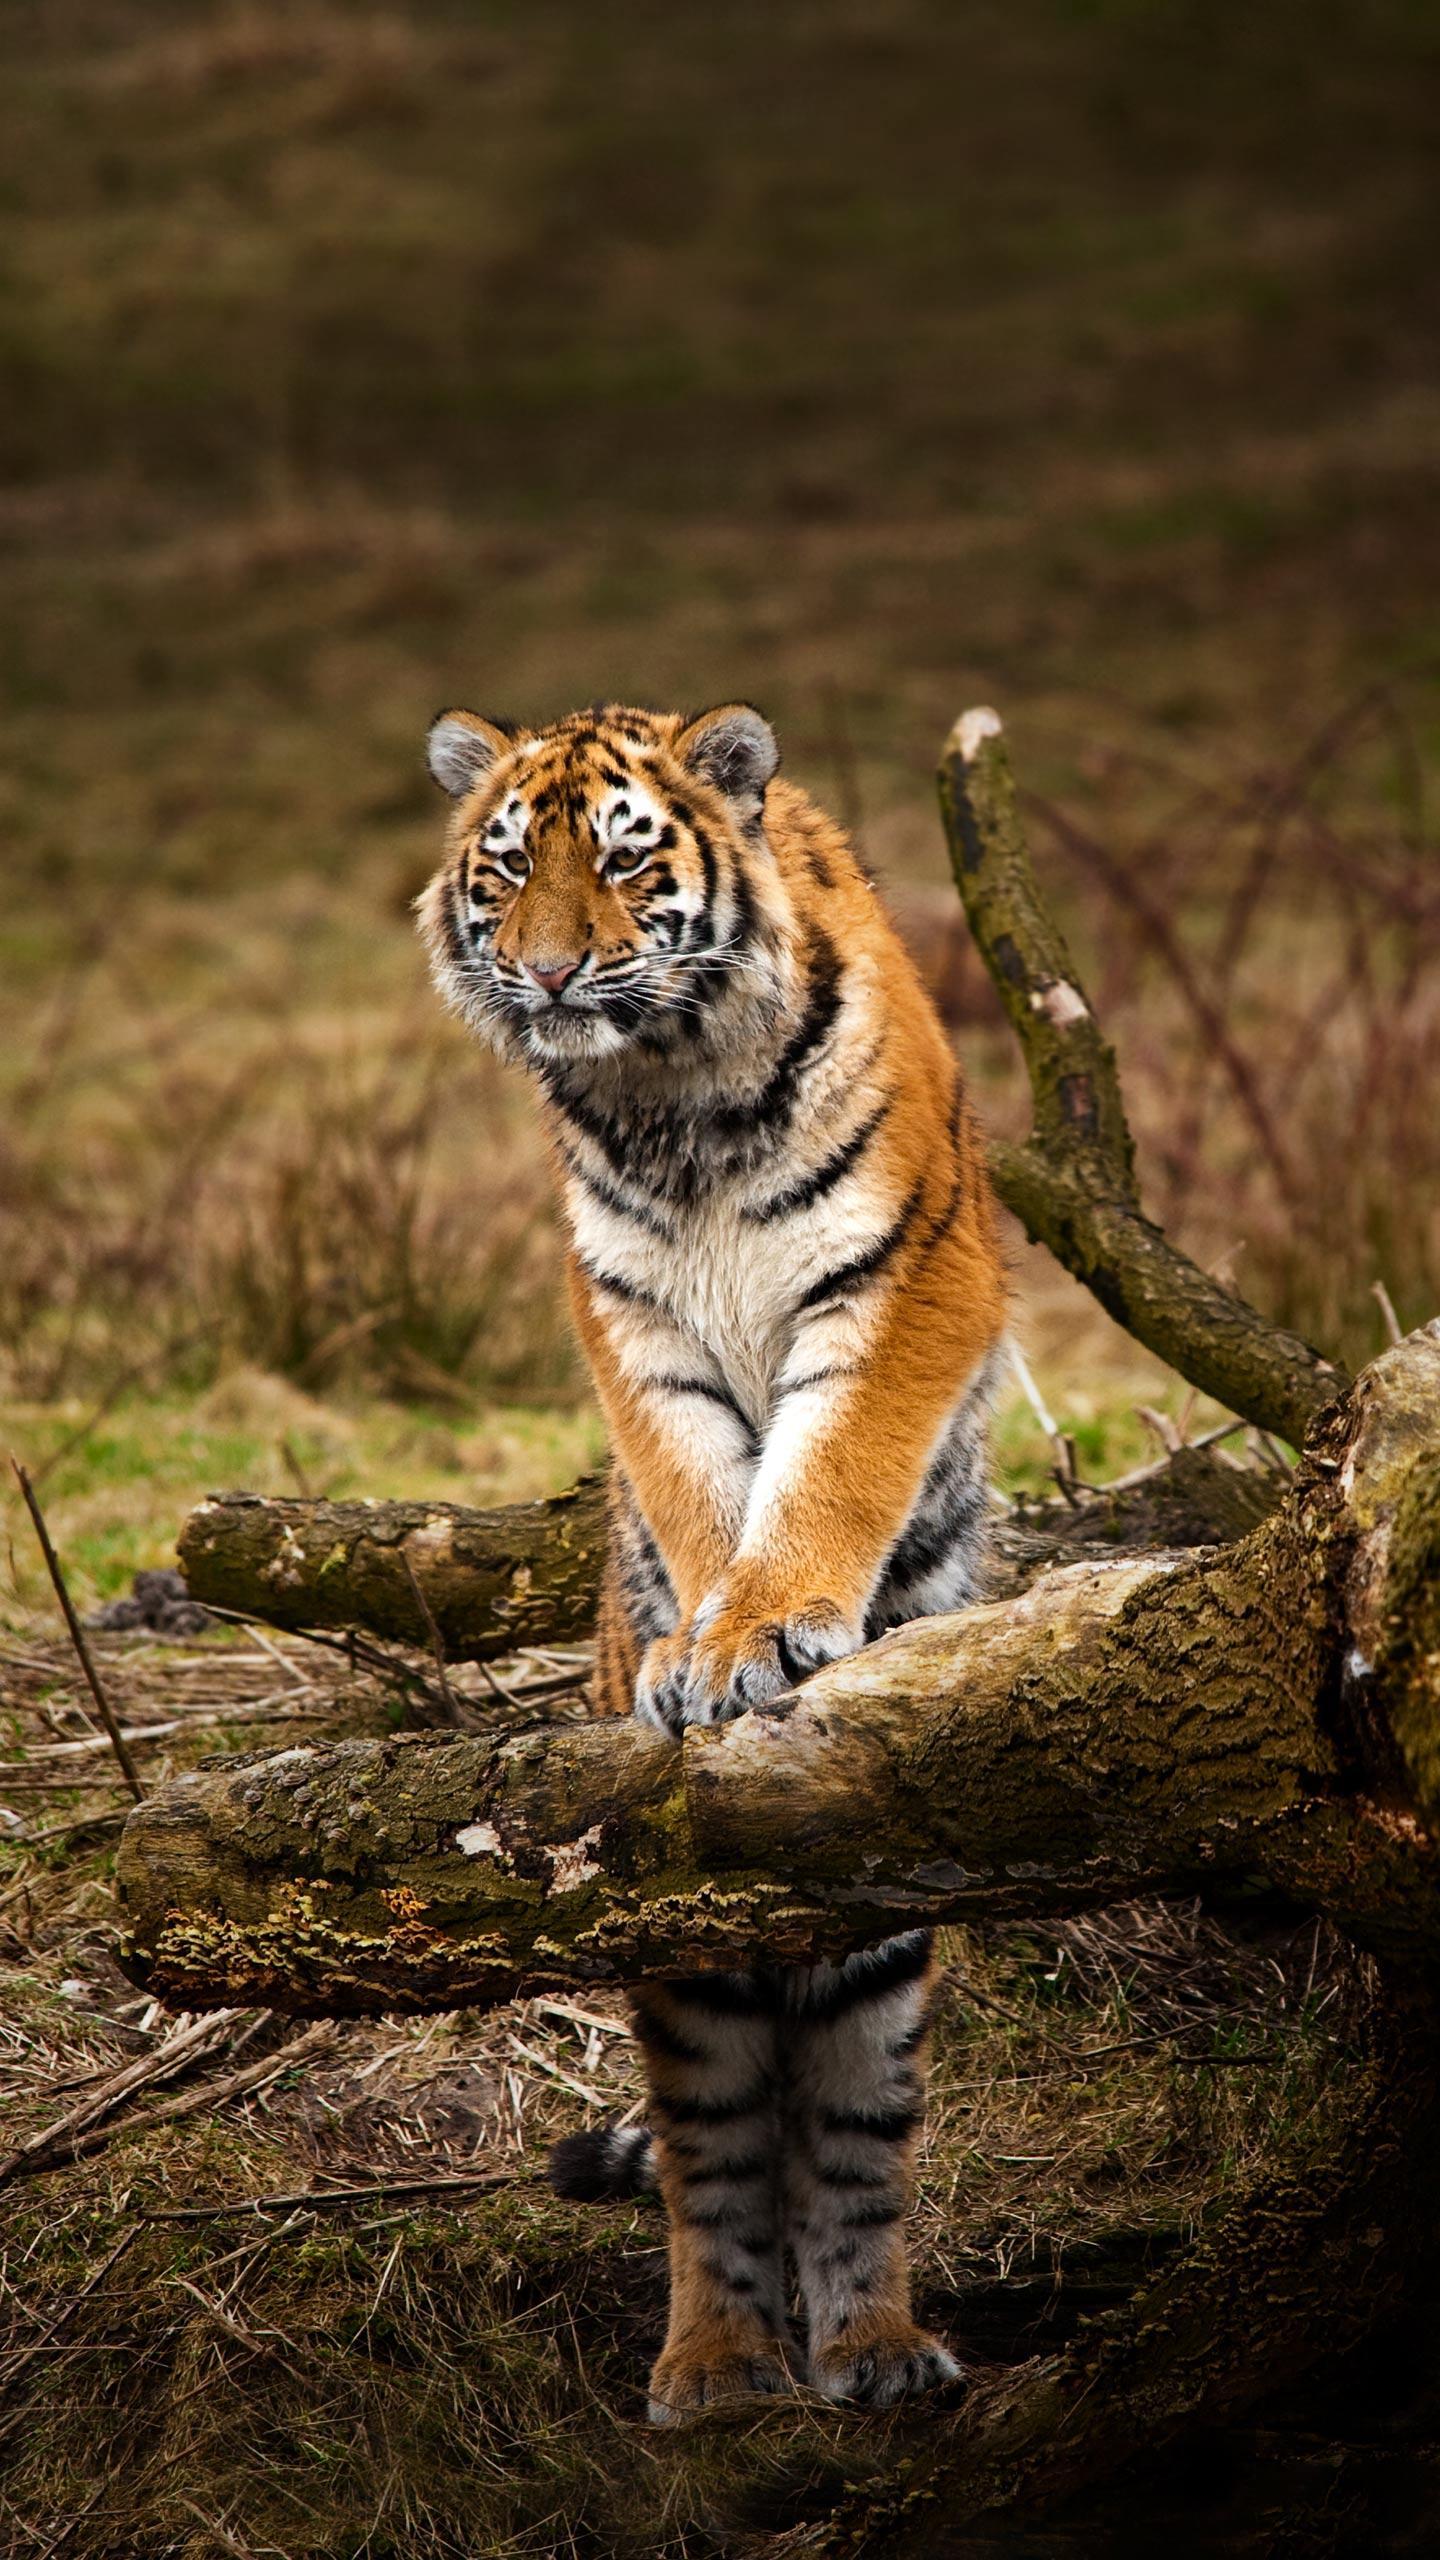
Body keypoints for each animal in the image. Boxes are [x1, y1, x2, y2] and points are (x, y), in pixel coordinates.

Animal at [418, 698, 1006, 2420]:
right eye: (504, 871)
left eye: (624, 860)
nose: (550, 975)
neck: (667, 1095)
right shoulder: (631, 1309)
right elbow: (698, 1489)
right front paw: (700, 1645)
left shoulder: (907, 1270)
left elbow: (835, 1463)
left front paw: (769, 1627)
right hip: (677, 1965)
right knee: (717, 2161)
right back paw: (722, 2369)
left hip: (880, 1954)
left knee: (857, 2153)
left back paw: (873, 2351)